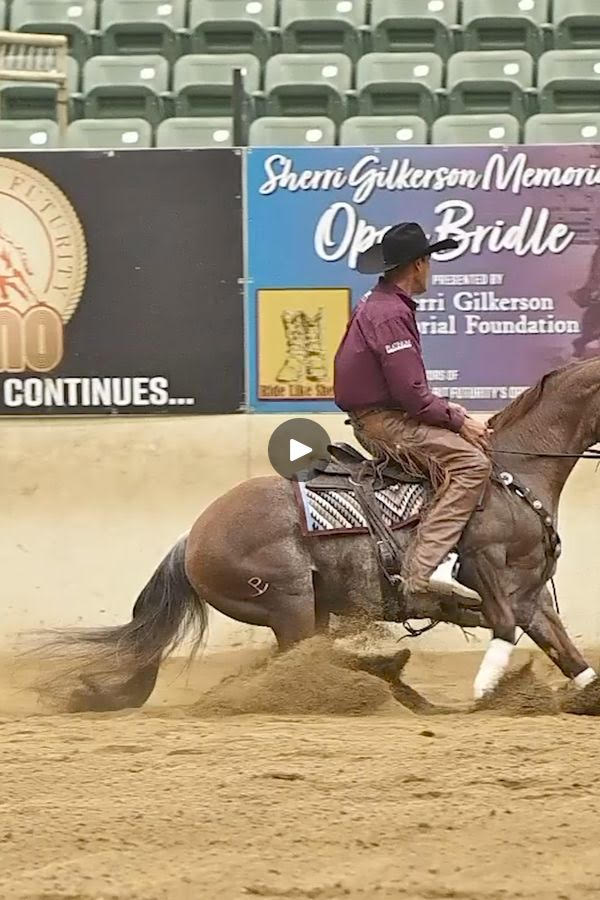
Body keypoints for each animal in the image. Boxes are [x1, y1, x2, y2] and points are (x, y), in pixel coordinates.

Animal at [48, 358, 600, 712]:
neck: (513, 474)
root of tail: (193, 538)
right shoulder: (484, 568)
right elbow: (504, 626)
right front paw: (487, 692)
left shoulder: (529, 592)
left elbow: (561, 645)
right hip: (289, 605)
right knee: (306, 662)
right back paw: (391, 679)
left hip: (309, 610)